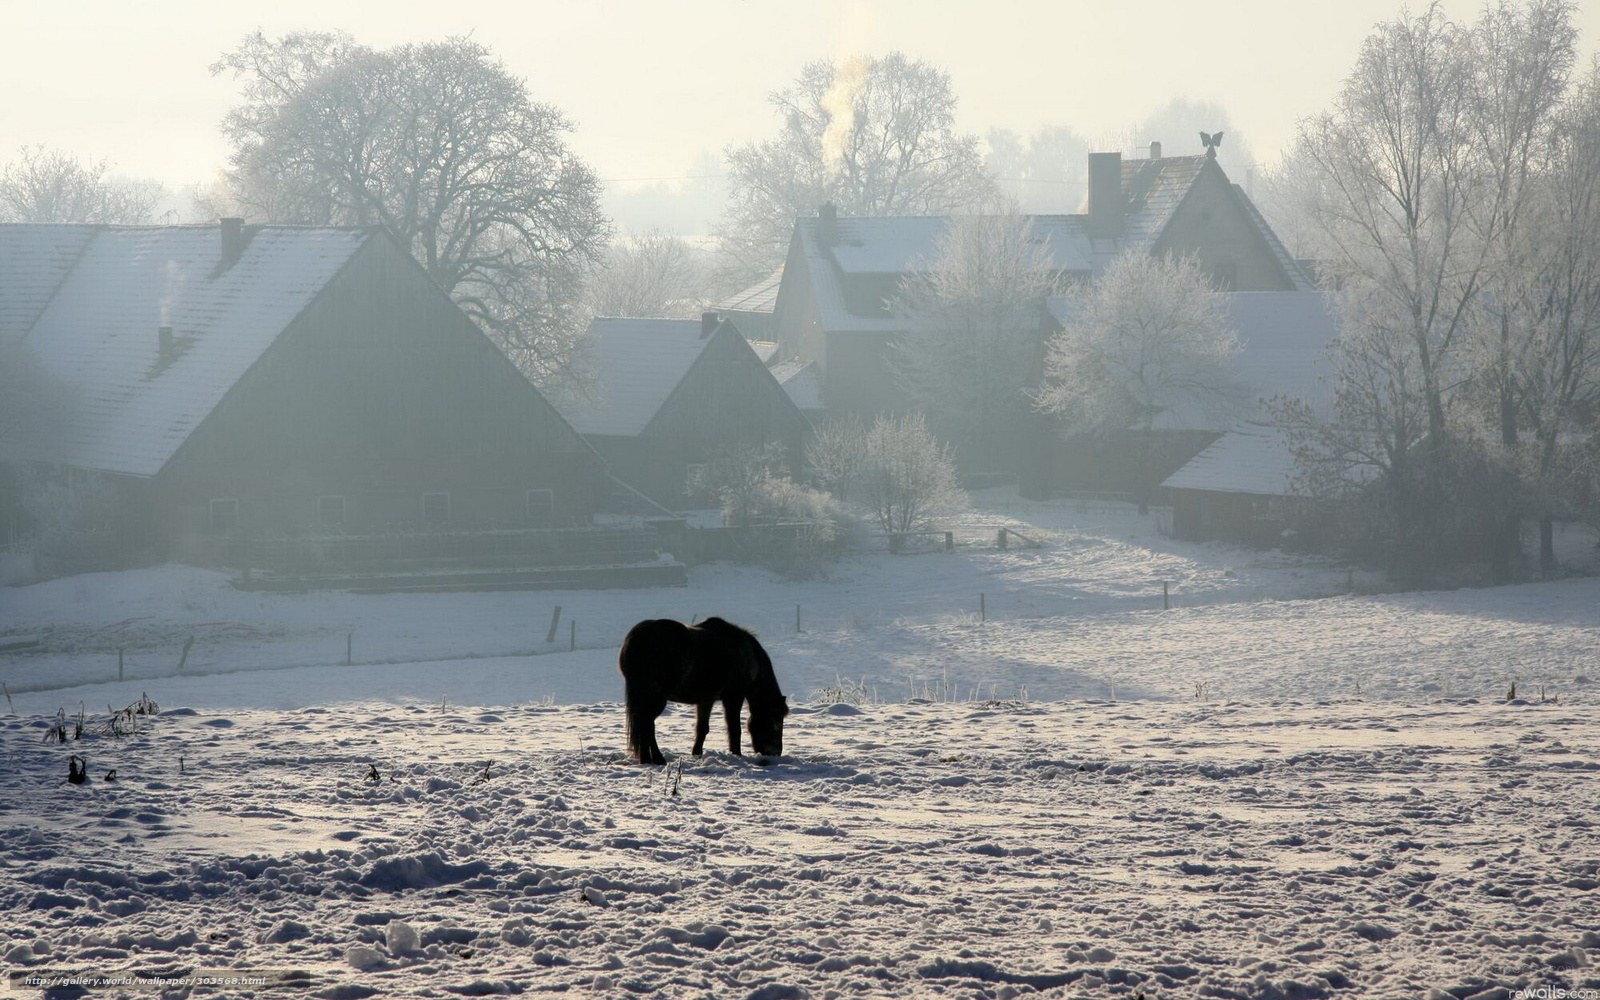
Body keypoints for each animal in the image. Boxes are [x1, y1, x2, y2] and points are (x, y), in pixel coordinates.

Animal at [618, 617, 789, 765]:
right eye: (776, 721)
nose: (775, 753)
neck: (747, 653)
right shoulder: (733, 698)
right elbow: (735, 729)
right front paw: (737, 754)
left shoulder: (706, 700)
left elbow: (702, 728)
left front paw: (697, 754)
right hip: (655, 698)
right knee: (646, 725)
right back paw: (654, 759)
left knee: (646, 725)